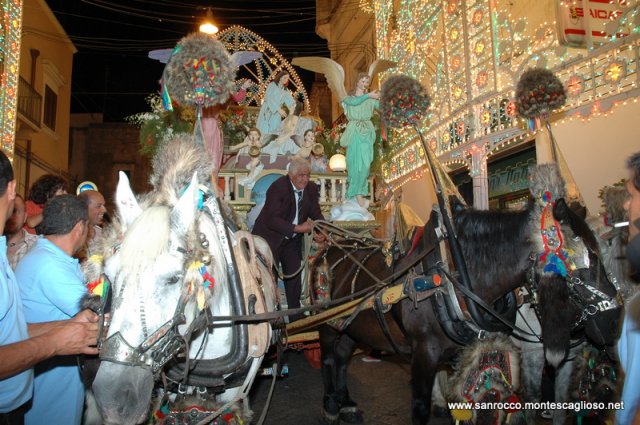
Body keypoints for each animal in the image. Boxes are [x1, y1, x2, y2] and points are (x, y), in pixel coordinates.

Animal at [310, 163, 621, 425]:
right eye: (586, 258)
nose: (614, 323)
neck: (453, 274)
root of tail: (329, 249)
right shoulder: (424, 352)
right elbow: (420, 407)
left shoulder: (462, 351)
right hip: (325, 322)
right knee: (329, 358)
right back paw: (330, 405)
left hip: (353, 325)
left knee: (342, 357)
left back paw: (347, 403)